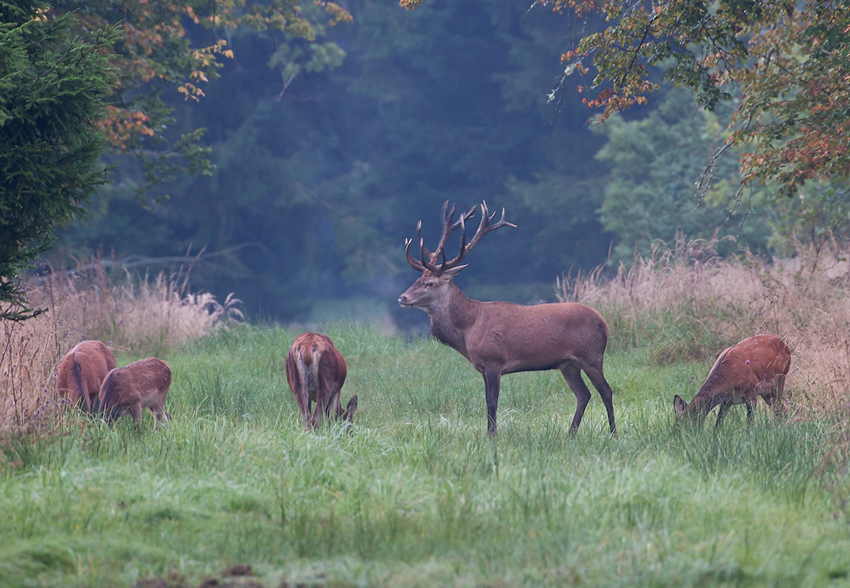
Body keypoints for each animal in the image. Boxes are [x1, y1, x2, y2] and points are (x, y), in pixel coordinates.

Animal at [398, 202, 616, 436]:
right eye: (417, 280)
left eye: (429, 283)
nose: (402, 297)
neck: (468, 328)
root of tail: (604, 322)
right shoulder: (483, 367)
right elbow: (487, 401)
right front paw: (490, 433)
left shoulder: (494, 360)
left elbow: (492, 402)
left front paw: (491, 436)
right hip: (568, 364)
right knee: (583, 394)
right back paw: (570, 434)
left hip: (591, 354)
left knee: (606, 390)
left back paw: (613, 433)